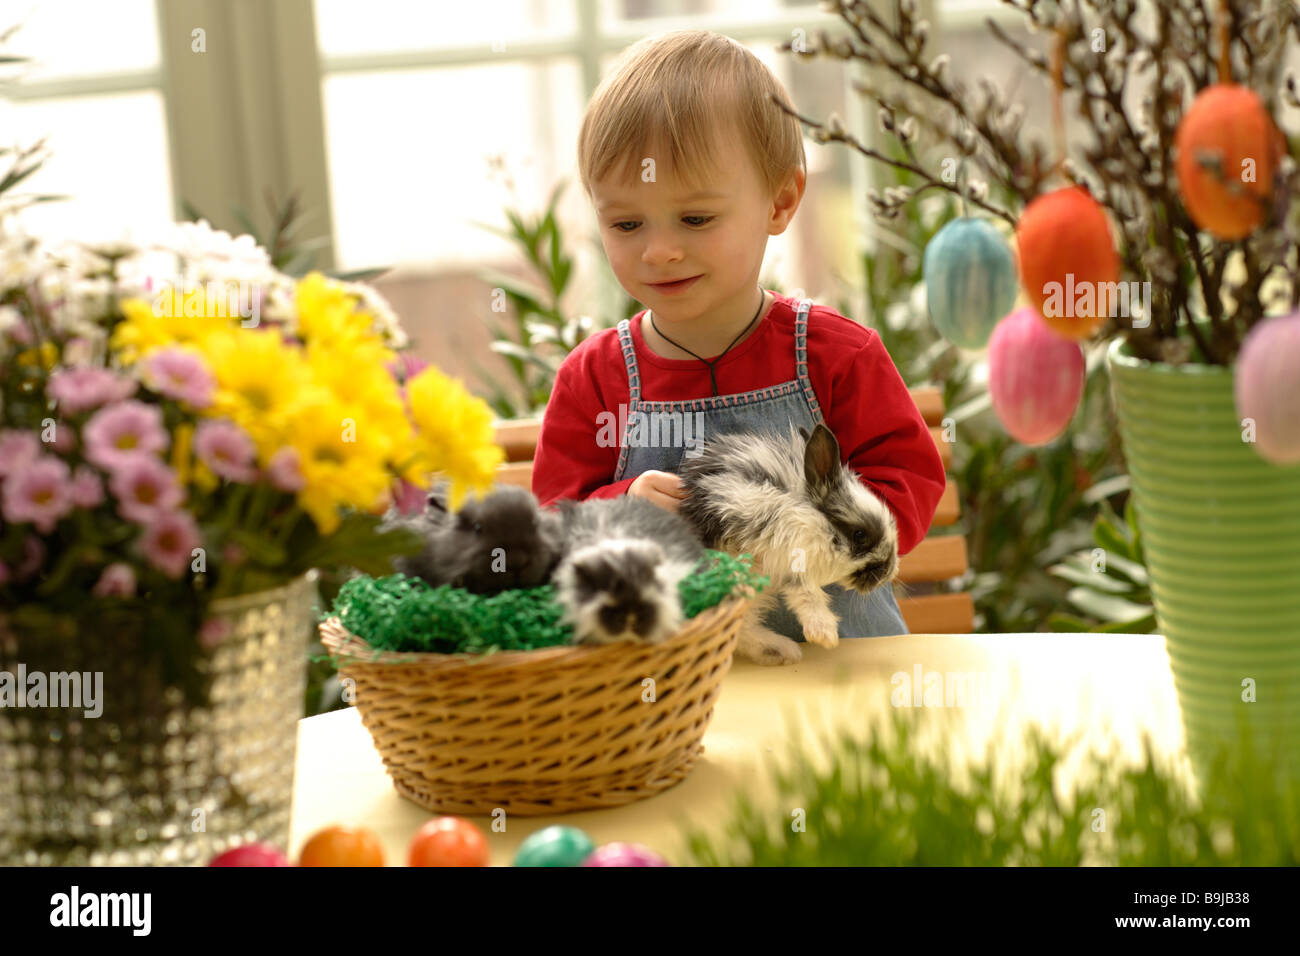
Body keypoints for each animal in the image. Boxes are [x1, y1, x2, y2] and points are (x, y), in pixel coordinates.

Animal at [676, 421, 899, 671]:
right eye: (859, 534)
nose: (887, 572)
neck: (804, 512)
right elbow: (807, 591)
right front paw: (825, 634)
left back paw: (781, 651)